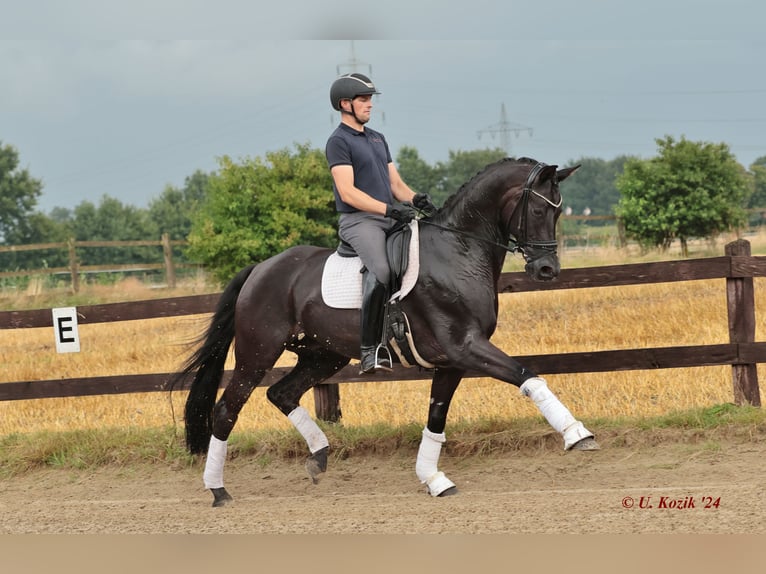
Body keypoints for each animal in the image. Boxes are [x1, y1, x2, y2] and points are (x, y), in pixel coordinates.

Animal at [174, 158, 600, 508]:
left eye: (558, 211)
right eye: (540, 208)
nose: (547, 270)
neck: (458, 251)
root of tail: (260, 269)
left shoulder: (452, 360)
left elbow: (436, 417)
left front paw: (434, 479)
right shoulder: (465, 346)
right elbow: (528, 376)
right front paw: (577, 434)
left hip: (323, 355)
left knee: (282, 393)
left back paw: (319, 456)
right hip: (258, 352)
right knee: (227, 409)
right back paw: (218, 490)